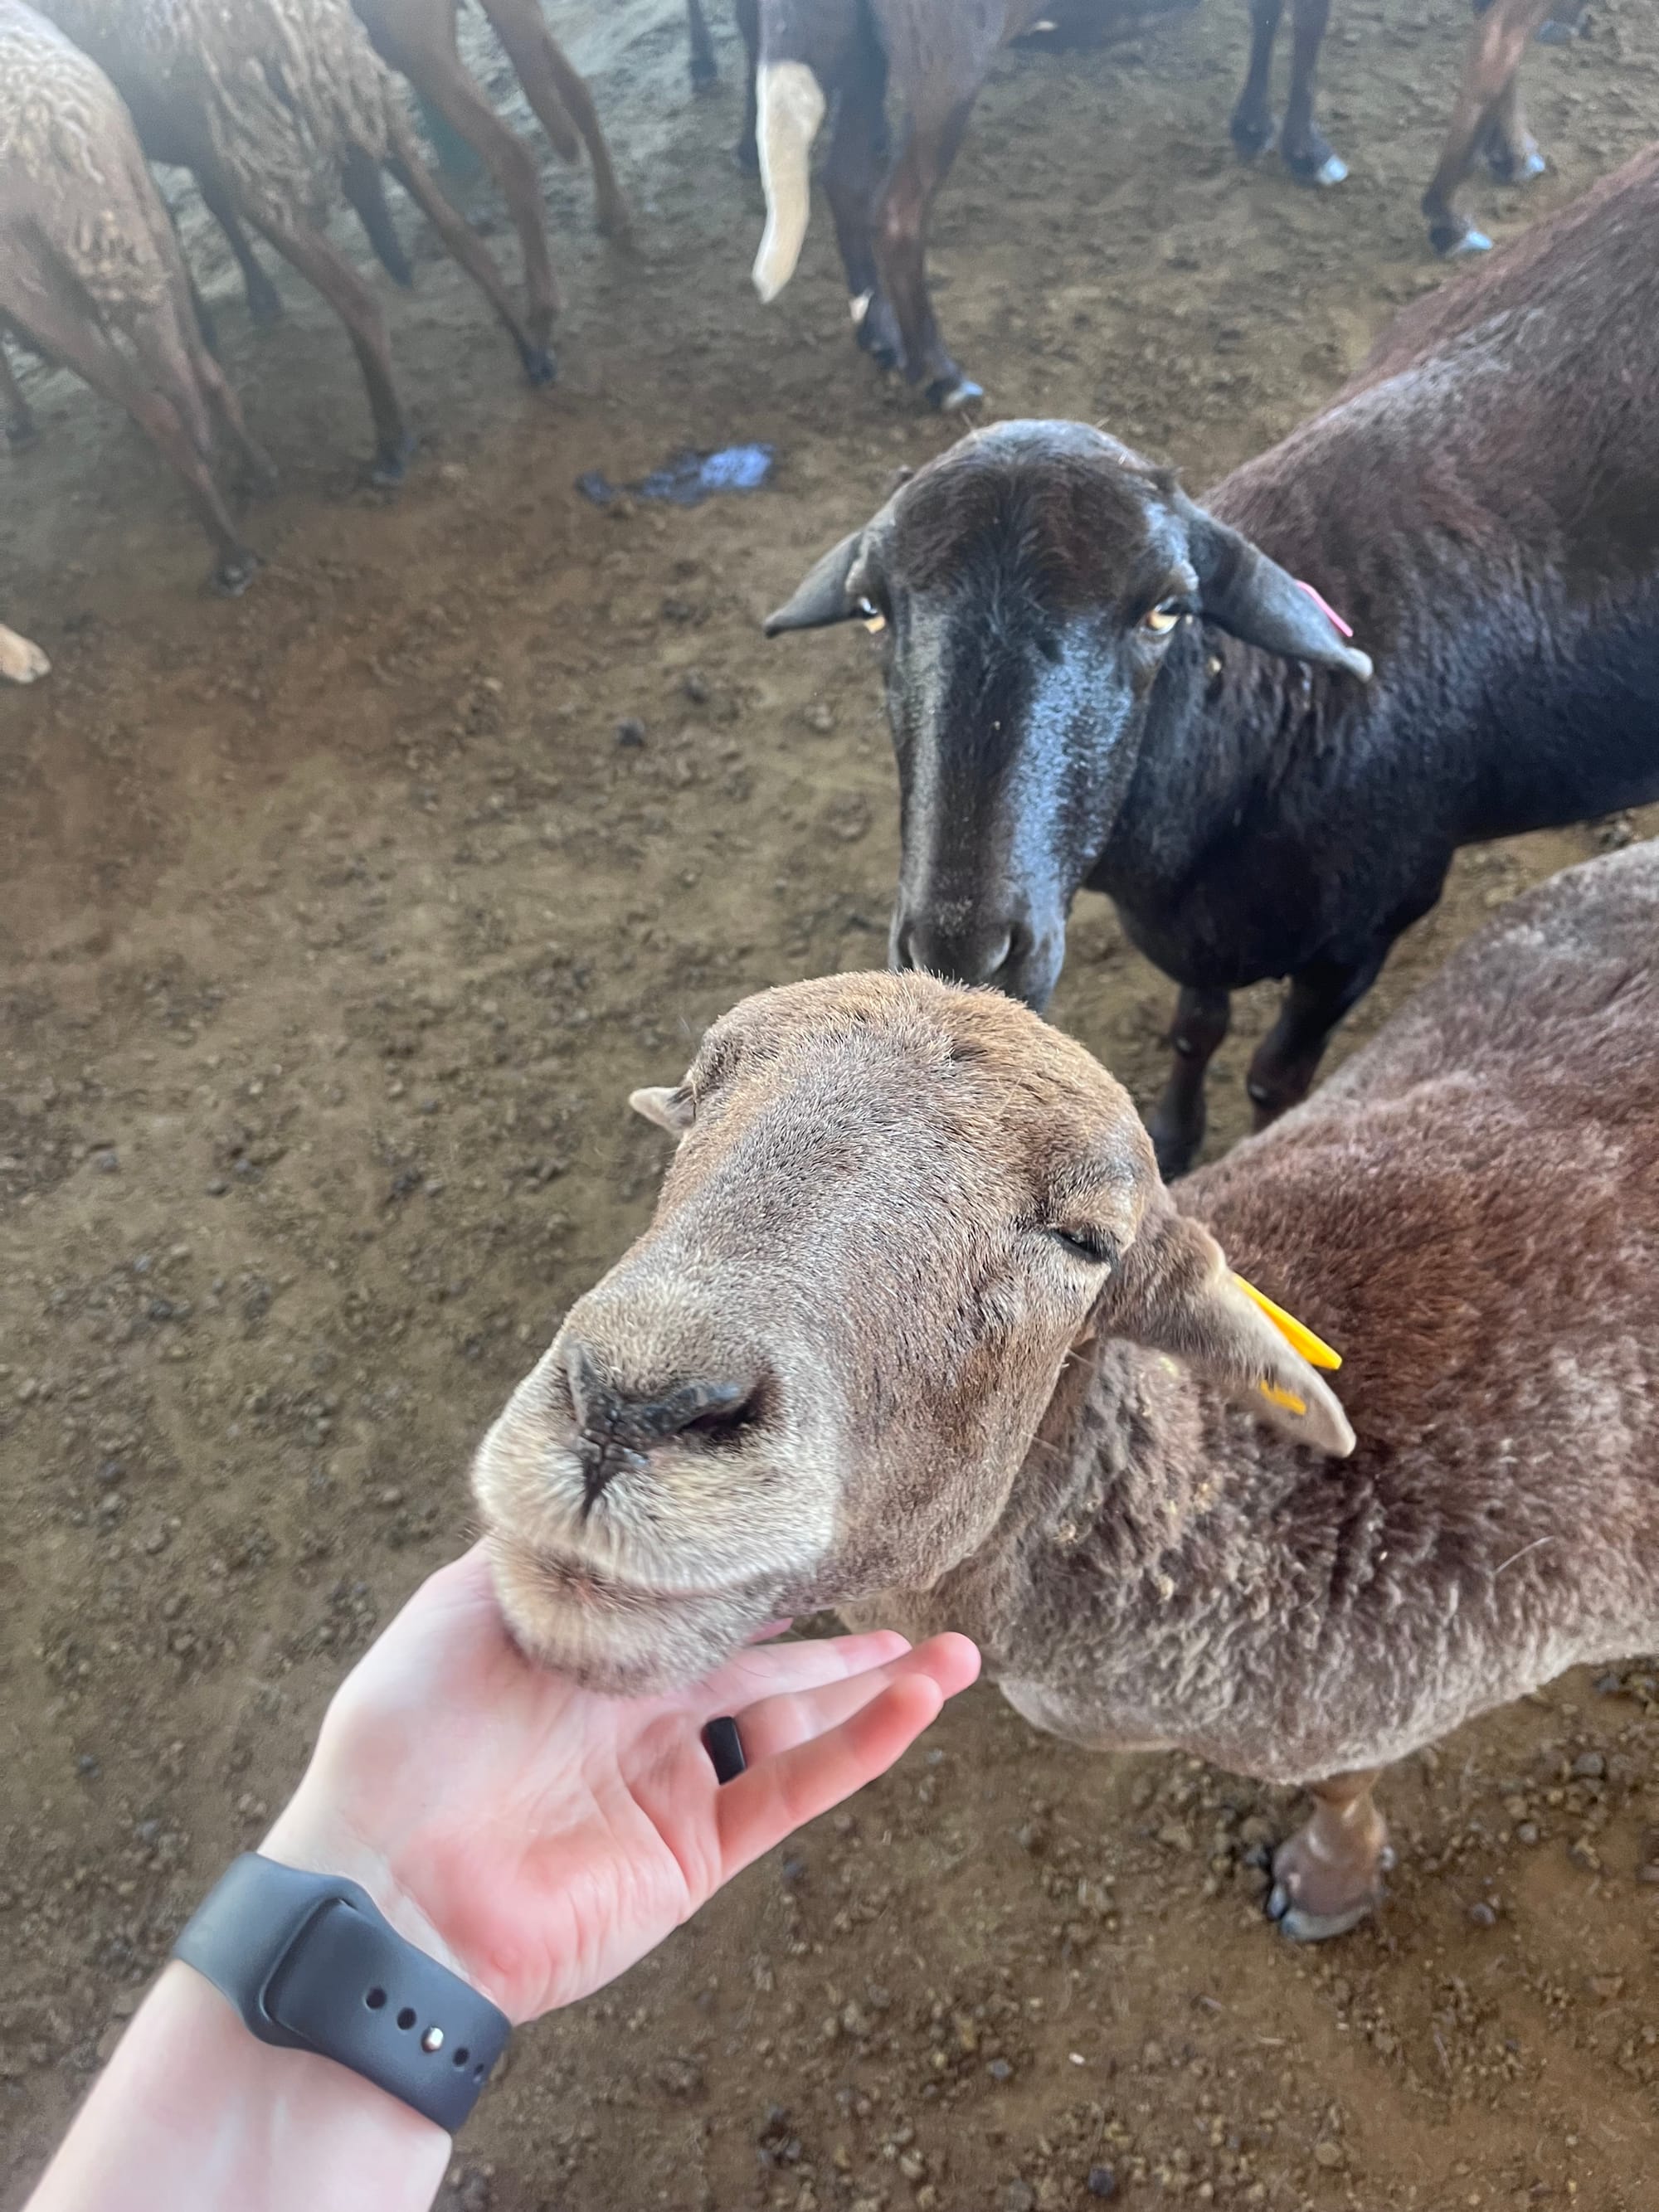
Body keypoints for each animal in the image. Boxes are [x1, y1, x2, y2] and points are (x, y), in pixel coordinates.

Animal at [0, 0, 269, 590]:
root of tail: (58, 138)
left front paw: (20, 424)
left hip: (35, 280)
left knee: (162, 413)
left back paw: (230, 556)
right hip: (140, 195)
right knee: (198, 368)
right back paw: (259, 471)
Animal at [38, 0, 555, 486]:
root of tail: (305, 18)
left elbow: (184, 216)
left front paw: (235, 311)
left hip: (254, 150)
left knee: (357, 297)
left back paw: (392, 446)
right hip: (363, 92)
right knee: (466, 219)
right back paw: (532, 350)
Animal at [472, 838, 1659, 1941]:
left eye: (1086, 1241)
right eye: (696, 1095)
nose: (629, 1405)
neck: (1242, 1513)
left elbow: (1339, 1787)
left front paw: (1326, 1883)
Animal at [762, 142, 1659, 1176]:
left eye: (1163, 609)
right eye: (872, 610)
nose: (963, 956)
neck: (1265, 731)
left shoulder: (1365, 933)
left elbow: (1274, 1078)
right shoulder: (1198, 933)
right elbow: (1194, 1029)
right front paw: (1171, 1131)